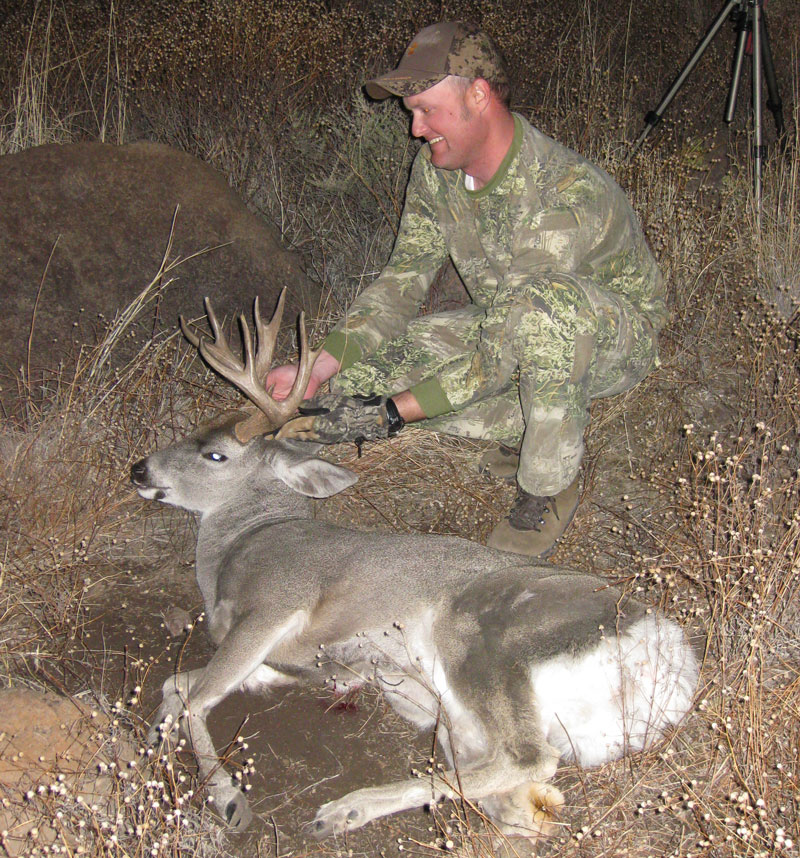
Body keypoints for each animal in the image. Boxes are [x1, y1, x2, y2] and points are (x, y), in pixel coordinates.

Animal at [130, 290, 698, 842]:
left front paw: (228, 799)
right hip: (461, 720)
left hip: (483, 639)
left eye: (216, 455)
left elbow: (198, 697)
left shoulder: (275, 603)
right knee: (513, 794)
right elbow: (174, 683)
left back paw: (341, 809)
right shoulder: (281, 659)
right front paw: (157, 727)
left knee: (529, 757)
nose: (139, 469)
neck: (244, 542)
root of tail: (671, 661)